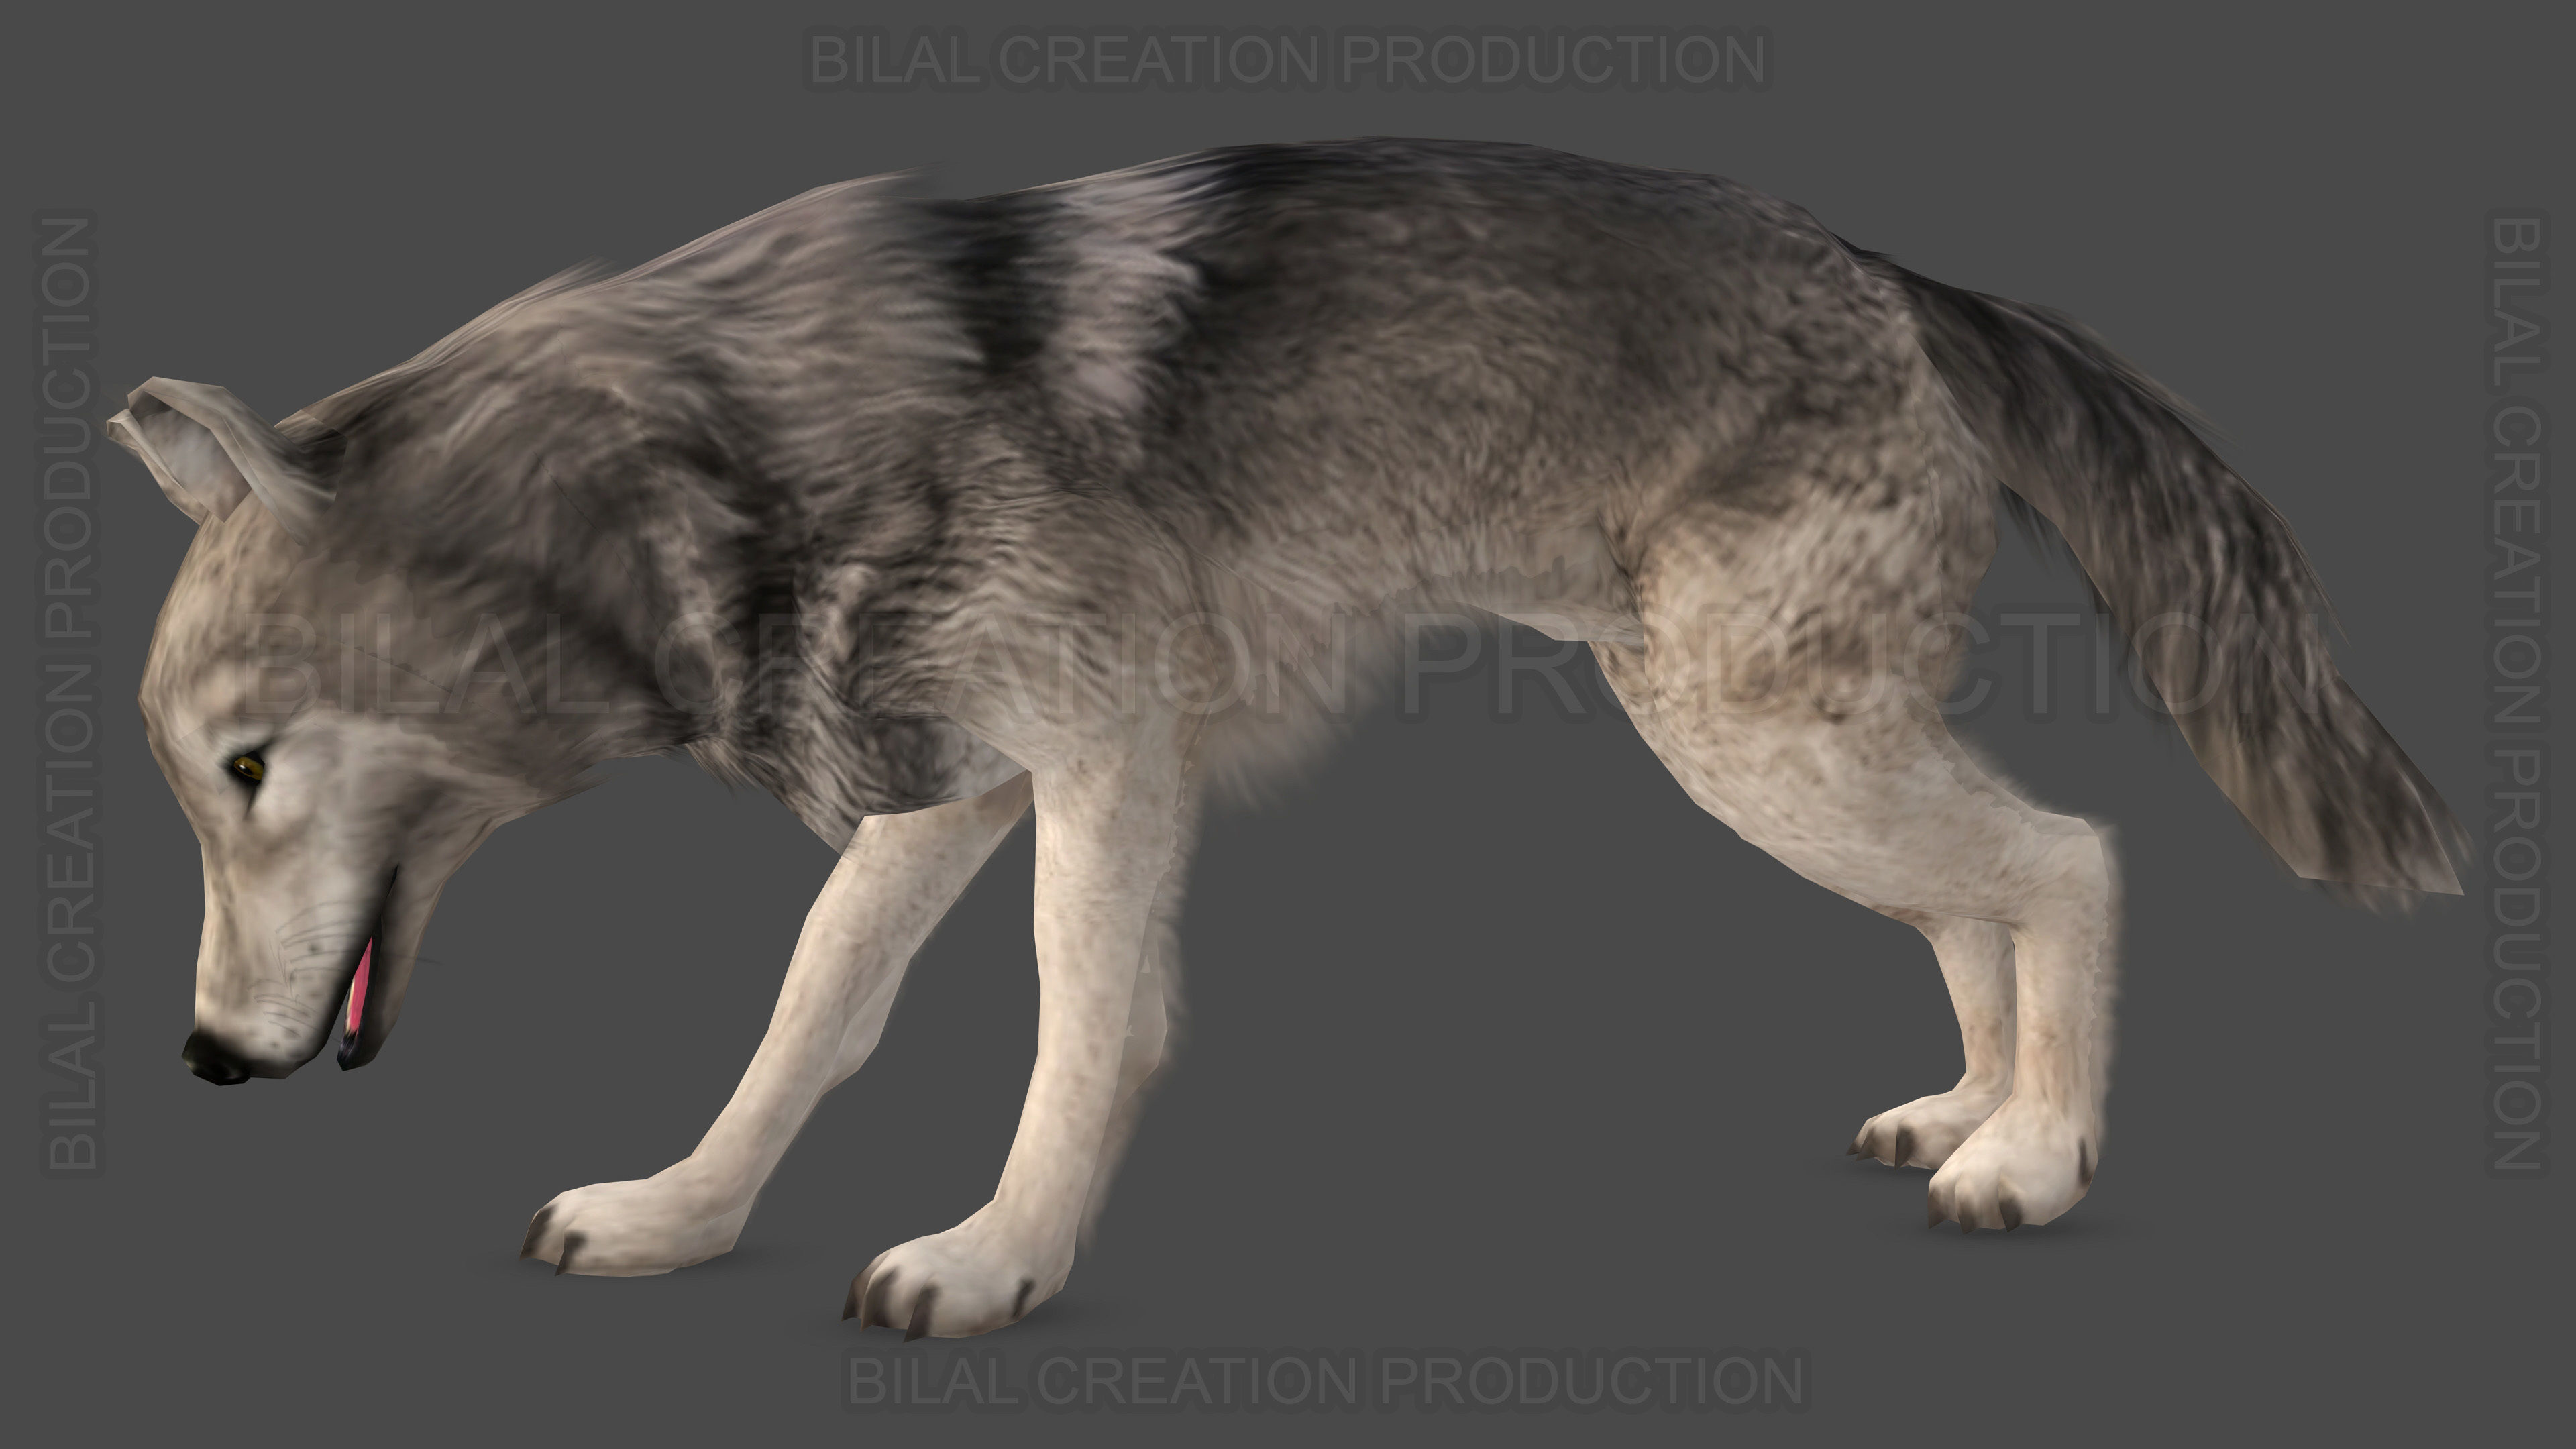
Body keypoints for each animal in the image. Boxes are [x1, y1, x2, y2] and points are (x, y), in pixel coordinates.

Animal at [114, 137, 2460, 1338]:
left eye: (246, 773)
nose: (205, 1065)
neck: (719, 458)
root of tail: (1909, 275)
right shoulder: (952, 783)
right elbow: (804, 1016)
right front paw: (679, 1216)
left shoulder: (1101, 758)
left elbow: (1085, 1024)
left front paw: (995, 1263)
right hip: (1792, 753)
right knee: (1980, 893)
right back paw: (1967, 1114)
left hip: (1747, 750)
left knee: (2071, 857)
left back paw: (2036, 1163)